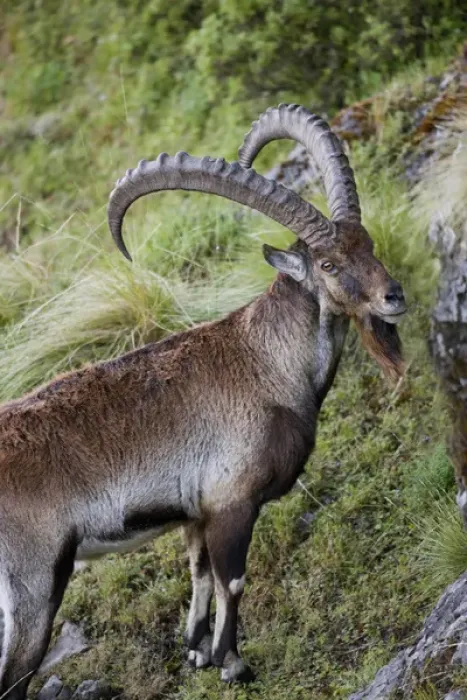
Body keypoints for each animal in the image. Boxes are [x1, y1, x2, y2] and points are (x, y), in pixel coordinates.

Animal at [0, 104, 407, 697]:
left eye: (369, 244)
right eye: (329, 265)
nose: (393, 297)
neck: (265, 362)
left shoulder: (196, 512)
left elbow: (199, 575)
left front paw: (195, 651)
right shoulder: (232, 502)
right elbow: (231, 580)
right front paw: (233, 664)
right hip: (33, 585)